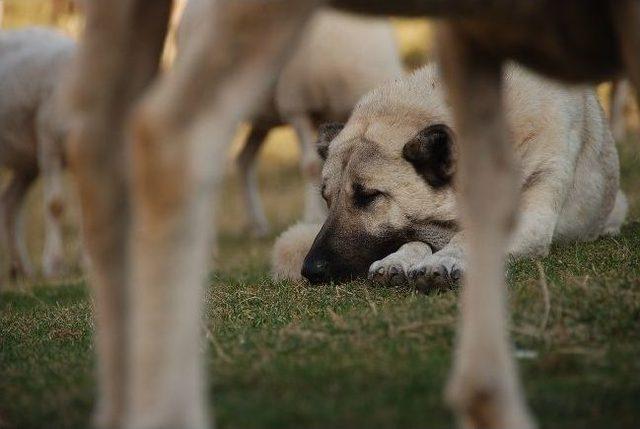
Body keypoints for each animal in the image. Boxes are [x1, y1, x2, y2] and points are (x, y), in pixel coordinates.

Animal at [270, 63, 624, 288]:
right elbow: (415, 238)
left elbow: (466, 237)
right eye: (326, 199)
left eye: (368, 197)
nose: (310, 270)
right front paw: (399, 259)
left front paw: (444, 259)